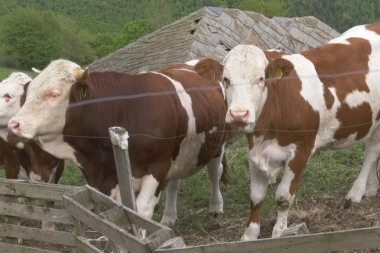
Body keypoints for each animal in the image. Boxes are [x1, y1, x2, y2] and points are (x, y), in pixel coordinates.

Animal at [8, 58, 229, 233]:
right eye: (29, 92)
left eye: (54, 94)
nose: (13, 124)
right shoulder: (109, 178)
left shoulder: (157, 167)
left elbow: (142, 215)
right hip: (180, 153)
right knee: (175, 183)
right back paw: (169, 217)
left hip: (217, 146)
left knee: (214, 173)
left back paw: (216, 208)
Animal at [191, 23, 380, 241]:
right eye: (226, 79)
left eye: (261, 79)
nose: (239, 114)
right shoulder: (255, 152)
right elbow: (255, 197)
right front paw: (250, 234)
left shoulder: (300, 152)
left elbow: (283, 197)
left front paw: (280, 231)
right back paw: (372, 188)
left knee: (371, 152)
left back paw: (356, 192)